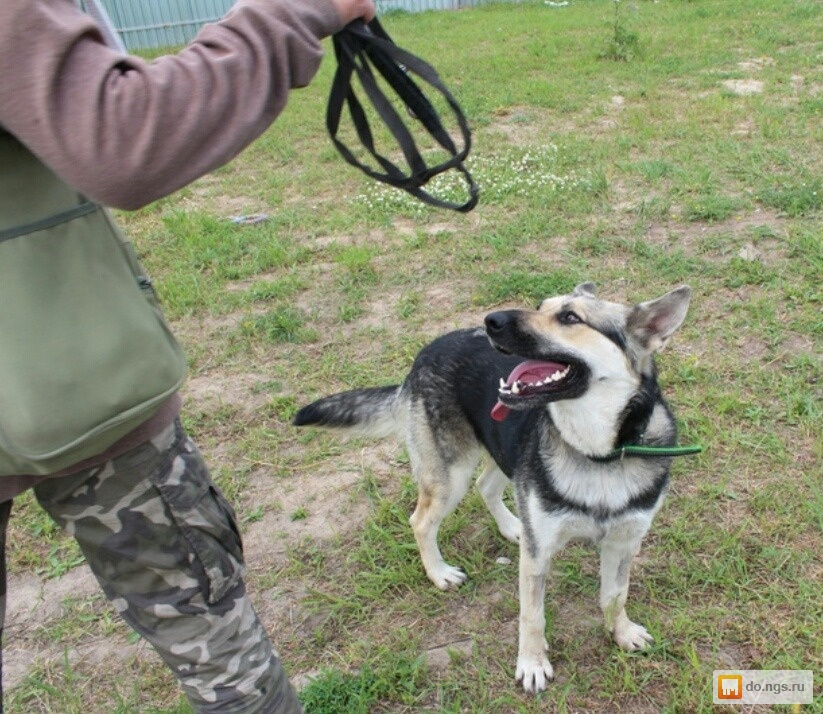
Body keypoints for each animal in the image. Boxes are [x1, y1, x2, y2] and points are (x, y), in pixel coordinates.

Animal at [292, 282, 692, 688]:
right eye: (540, 306)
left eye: (569, 317)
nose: (492, 321)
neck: (597, 454)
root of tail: (428, 350)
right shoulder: (538, 554)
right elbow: (532, 615)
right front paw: (532, 663)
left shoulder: (623, 542)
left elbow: (616, 594)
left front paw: (621, 632)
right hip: (450, 477)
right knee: (421, 521)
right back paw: (439, 573)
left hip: (502, 449)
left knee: (486, 486)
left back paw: (512, 527)